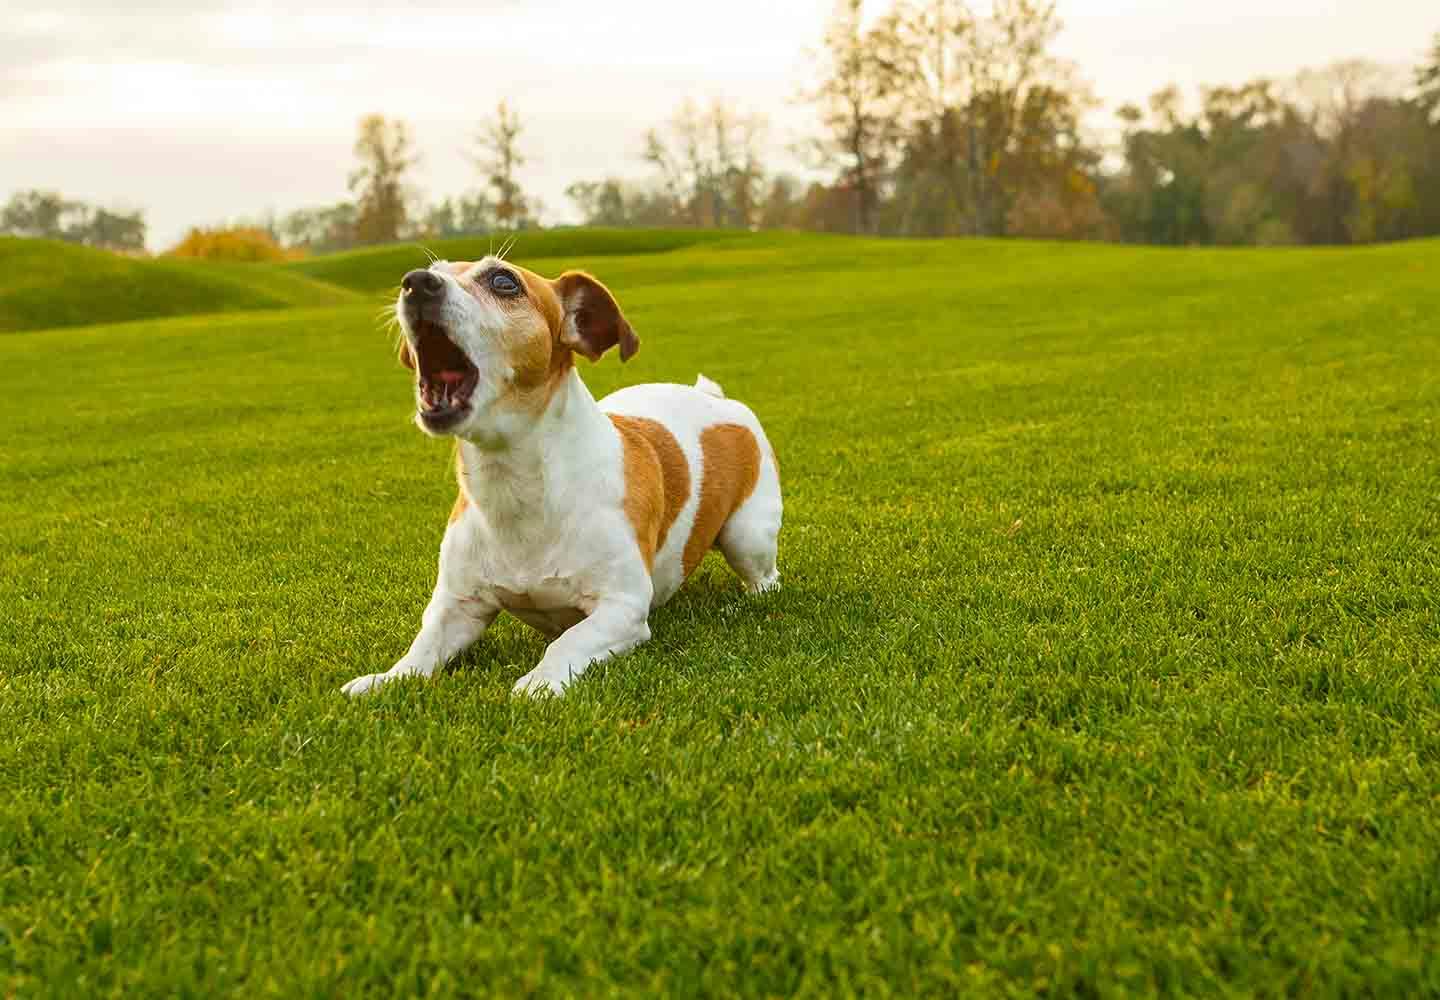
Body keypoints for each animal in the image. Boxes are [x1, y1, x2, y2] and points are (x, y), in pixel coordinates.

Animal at [341, 257, 783, 697]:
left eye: (504, 281)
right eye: (433, 268)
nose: (416, 282)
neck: (516, 486)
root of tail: (716, 399)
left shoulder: (621, 607)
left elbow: (566, 642)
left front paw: (539, 683)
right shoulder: (458, 605)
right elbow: (423, 649)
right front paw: (387, 679)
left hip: (747, 536)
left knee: (766, 578)